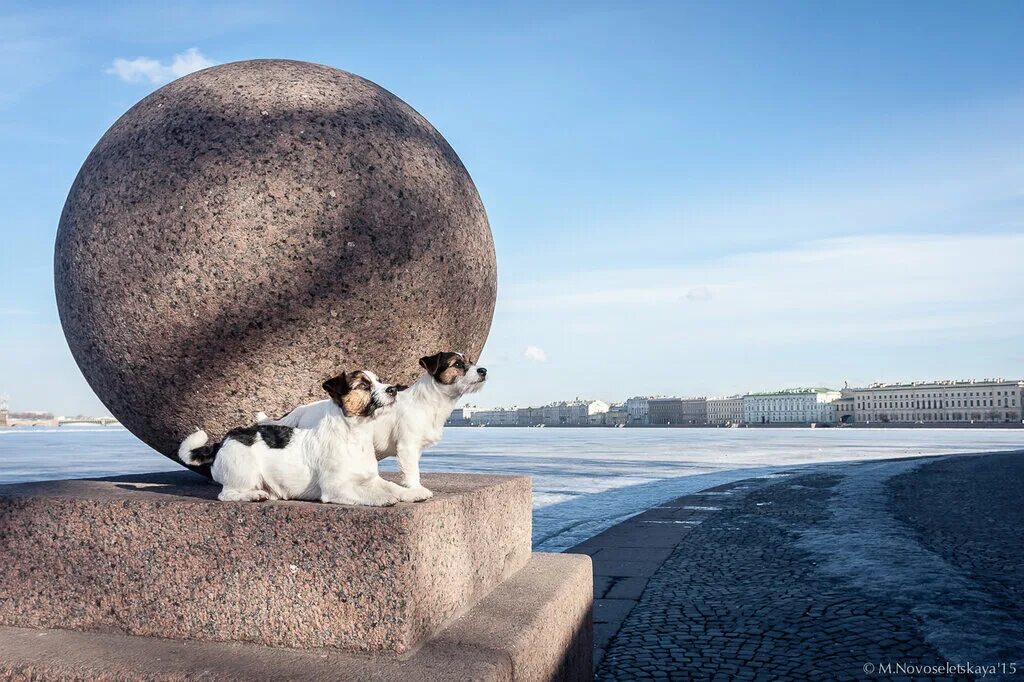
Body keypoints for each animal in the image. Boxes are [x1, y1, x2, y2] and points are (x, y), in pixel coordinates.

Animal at [178, 366, 421, 503]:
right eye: (363, 385)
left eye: (379, 380)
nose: (393, 389)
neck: (354, 435)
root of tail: (222, 442)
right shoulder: (336, 488)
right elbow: (368, 494)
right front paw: (383, 498)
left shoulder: (372, 479)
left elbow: (391, 485)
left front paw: (410, 493)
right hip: (244, 472)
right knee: (226, 494)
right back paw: (252, 495)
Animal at [264, 352, 487, 497]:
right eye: (457, 364)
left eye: (470, 361)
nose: (483, 370)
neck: (430, 401)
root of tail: (300, 410)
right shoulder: (407, 446)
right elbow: (412, 471)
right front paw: (416, 489)